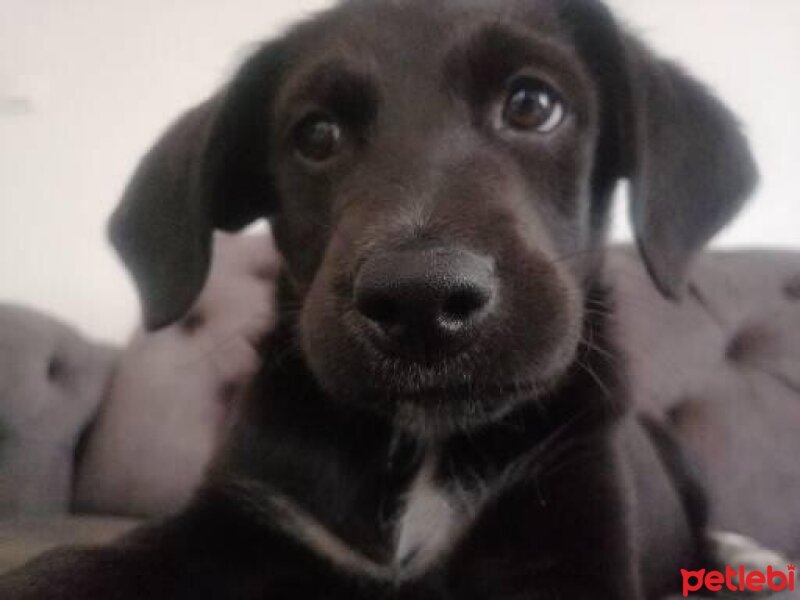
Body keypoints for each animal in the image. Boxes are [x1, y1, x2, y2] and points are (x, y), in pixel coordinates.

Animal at [0, 1, 756, 600]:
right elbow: (78, 565)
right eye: (315, 135)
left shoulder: (571, 524)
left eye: (532, 104)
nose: (421, 298)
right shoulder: (241, 520)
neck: (424, 444)